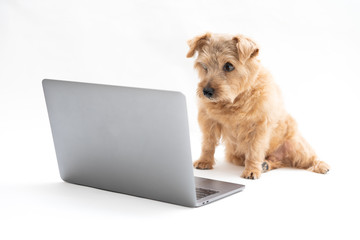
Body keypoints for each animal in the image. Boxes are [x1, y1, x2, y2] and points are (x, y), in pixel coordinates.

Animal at [187, 31, 330, 179]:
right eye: (204, 65)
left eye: (228, 66)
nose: (206, 92)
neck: (234, 101)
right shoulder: (208, 121)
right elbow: (208, 143)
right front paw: (204, 161)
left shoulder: (258, 127)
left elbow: (254, 150)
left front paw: (251, 170)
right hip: (236, 156)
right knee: (275, 161)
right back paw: (265, 165)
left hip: (297, 146)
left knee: (310, 157)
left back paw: (321, 166)